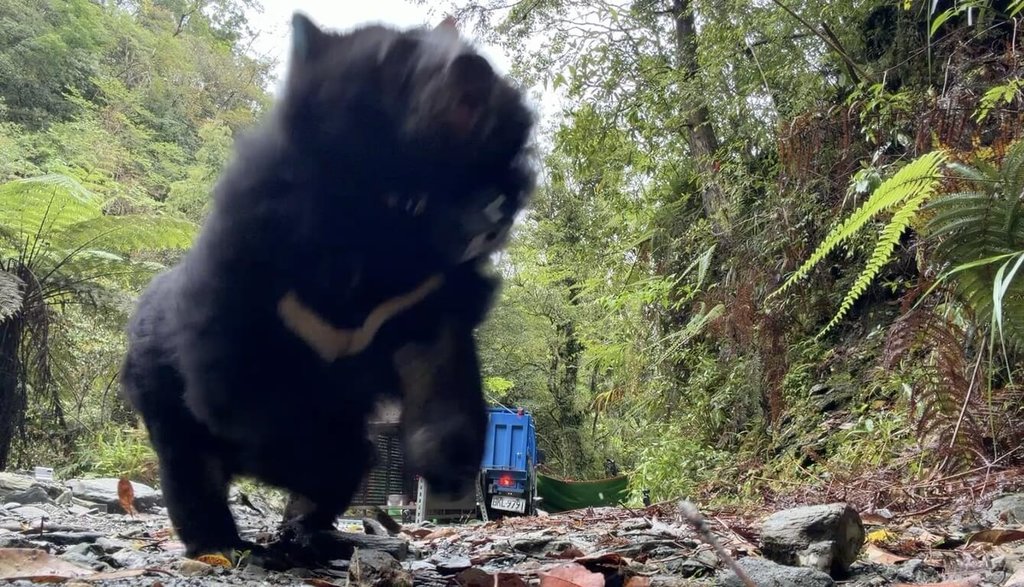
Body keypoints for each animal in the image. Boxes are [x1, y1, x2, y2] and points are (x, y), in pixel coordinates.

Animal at [119, 12, 535, 562]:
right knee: (192, 470)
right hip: (163, 394)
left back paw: (312, 531)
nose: (474, 71)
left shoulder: (420, 301)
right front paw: (340, 461)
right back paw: (222, 541)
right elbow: (249, 398)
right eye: (399, 59)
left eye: (474, 53)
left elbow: (439, 366)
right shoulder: (253, 291)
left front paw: (447, 463)